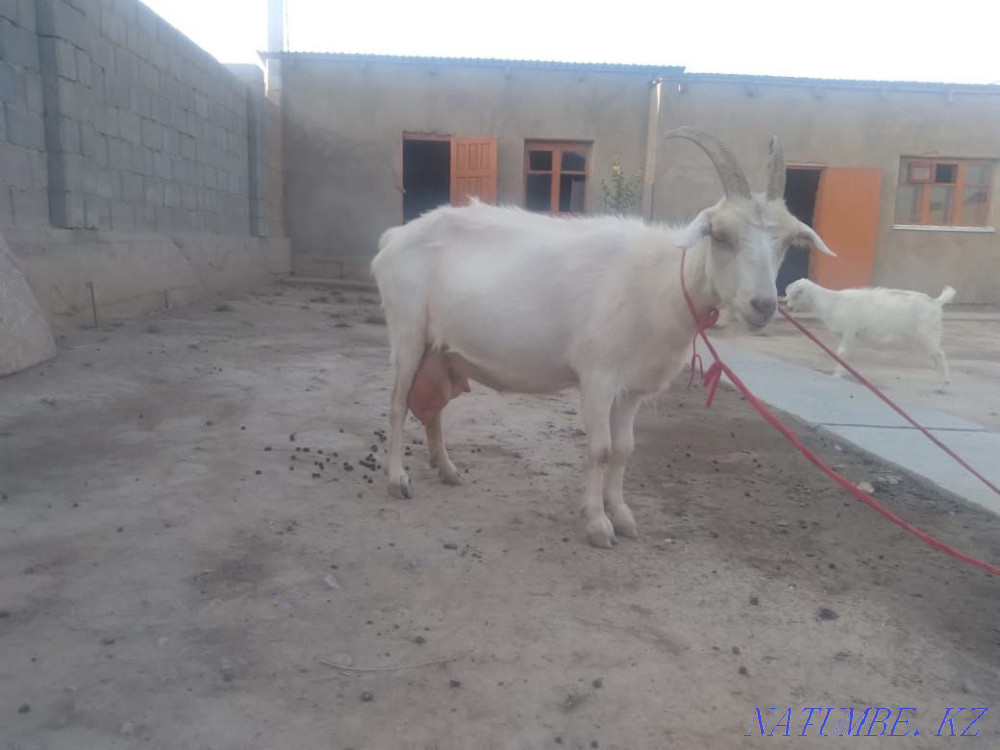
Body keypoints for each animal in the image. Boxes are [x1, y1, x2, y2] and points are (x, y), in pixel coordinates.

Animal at [371, 128, 835, 548]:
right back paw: (398, 480)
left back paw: (447, 470)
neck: (661, 282)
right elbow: (600, 449)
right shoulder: (598, 374)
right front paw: (597, 525)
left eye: (787, 241)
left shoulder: (631, 387)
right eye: (720, 235)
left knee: (432, 408)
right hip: (407, 329)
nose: (764, 305)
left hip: (438, 347)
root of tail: (393, 238)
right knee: (397, 403)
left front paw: (623, 515)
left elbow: (625, 449)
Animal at [784, 278, 956, 386]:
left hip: (928, 333)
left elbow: (841, 353)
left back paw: (944, 382)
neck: (833, 302)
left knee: (940, 355)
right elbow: (843, 353)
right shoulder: (849, 335)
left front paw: (837, 375)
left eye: (794, 294)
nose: (787, 306)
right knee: (935, 355)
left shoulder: (849, 331)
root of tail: (935, 302)